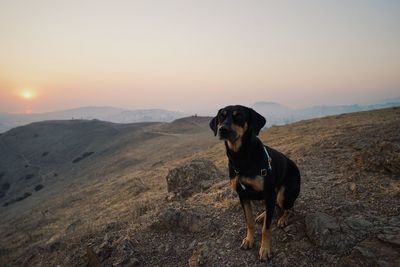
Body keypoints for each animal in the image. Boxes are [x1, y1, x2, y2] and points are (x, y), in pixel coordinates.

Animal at [209, 104, 300, 262]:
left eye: (239, 116)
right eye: (221, 116)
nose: (222, 129)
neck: (241, 157)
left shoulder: (269, 192)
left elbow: (266, 228)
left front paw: (265, 249)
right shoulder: (242, 195)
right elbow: (249, 221)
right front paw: (248, 240)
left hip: (283, 195)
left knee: (289, 207)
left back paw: (282, 218)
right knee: (273, 207)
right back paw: (263, 215)